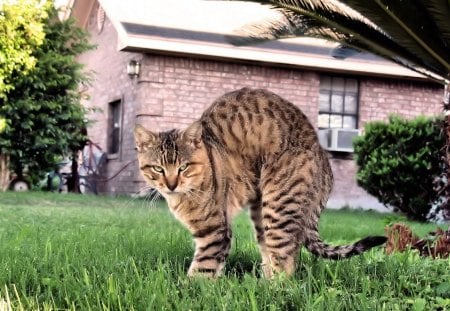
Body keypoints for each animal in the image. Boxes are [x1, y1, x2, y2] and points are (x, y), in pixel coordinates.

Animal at [134, 87, 386, 278]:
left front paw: (190, 292)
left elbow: (202, 270)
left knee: (286, 263)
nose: (171, 184)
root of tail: (324, 156)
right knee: (277, 255)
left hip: (279, 207)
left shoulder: (215, 232)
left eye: (183, 167)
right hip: (262, 213)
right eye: (158, 168)